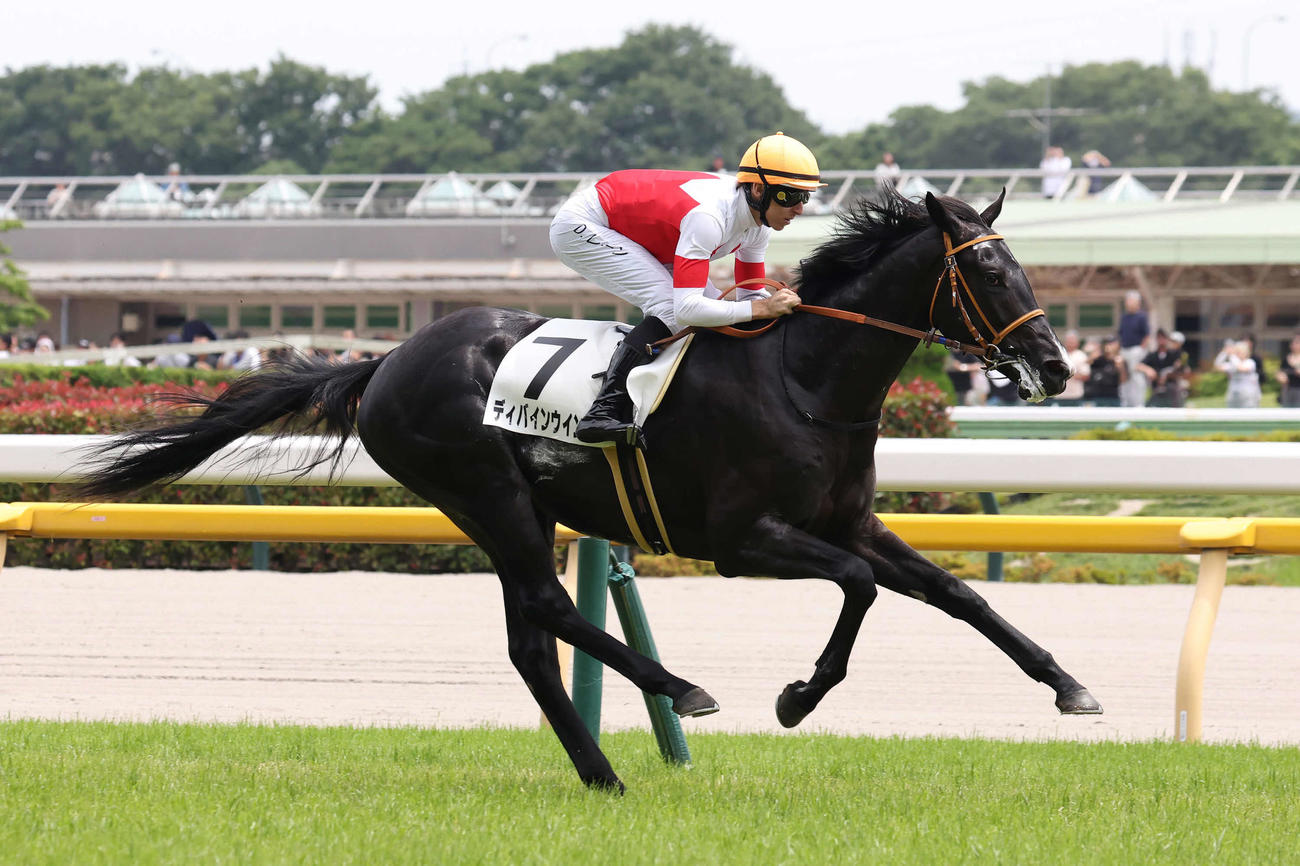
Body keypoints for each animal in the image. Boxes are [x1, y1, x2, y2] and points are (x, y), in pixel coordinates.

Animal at [76, 189, 1101, 792]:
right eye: (987, 267)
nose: (1056, 366)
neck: (804, 378)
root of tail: (386, 359)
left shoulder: (850, 520)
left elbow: (956, 593)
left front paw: (1069, 685)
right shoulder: (741, 541)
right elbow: (856, 587)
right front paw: (798, 697)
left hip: (506, 507)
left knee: (531, 636)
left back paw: (603, 769)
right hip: (488, 491)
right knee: (548, 606)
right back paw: (678, 689)